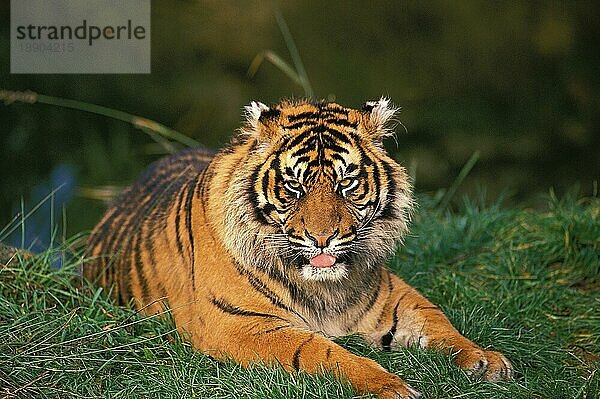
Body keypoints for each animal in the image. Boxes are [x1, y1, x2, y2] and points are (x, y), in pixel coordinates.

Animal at [86, 98, 512, 398]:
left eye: (346, 183)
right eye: (295, 186)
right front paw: (388, 385)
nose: (322, 238)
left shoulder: (392, 297)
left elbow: (437, 321)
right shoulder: (240, 324)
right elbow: (317, 349)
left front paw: (484, 360)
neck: (323, 286)